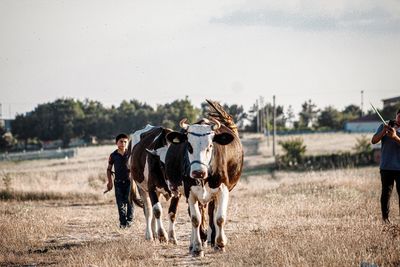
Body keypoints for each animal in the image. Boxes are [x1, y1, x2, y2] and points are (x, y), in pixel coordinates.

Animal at [166, 118, 244, 258]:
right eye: (189, 146)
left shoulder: (223, 190)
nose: (198, 172)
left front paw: (220, 244)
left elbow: (220, 218)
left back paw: (213, 240)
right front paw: (197, 248)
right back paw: (194, 244)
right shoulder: (190, 192)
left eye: (210, 146)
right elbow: (195, 219)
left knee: (213, 212)